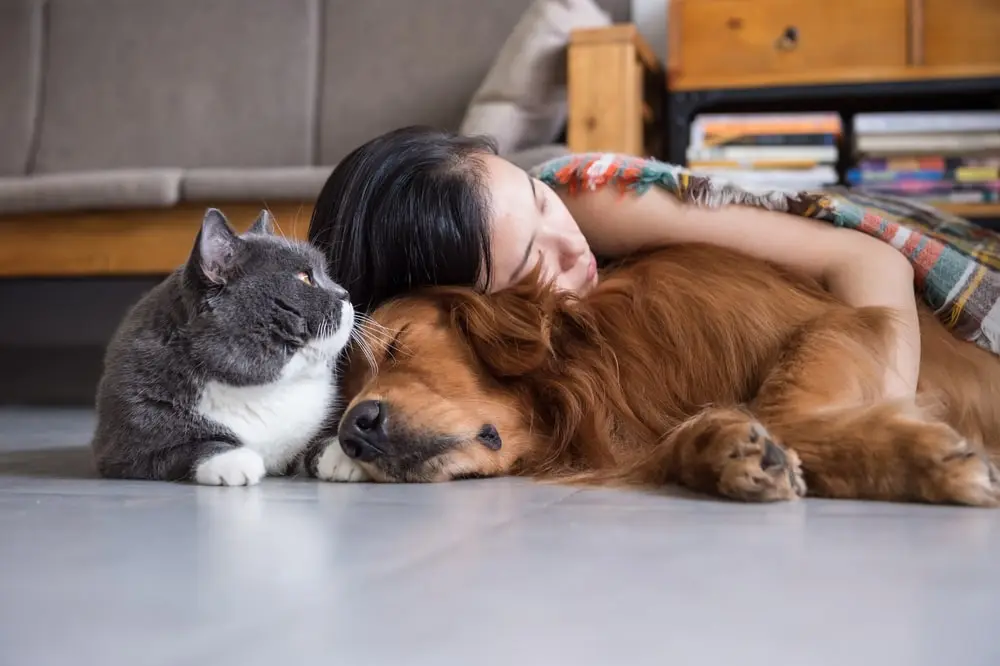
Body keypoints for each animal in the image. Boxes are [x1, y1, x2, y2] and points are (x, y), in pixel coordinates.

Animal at [89, 206, 356, 482]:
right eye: (304, 277)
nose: (346, 293)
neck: (264, 389)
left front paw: (342, 454)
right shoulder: (124, 447)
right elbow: (185, 449)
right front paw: (234, 460)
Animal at [332, 244, 1000, 504]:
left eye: (397, 344)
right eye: (344, 395)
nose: (353, 431)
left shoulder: (834, 321)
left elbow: (779, 406)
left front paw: (931, 460)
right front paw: (724, 450)